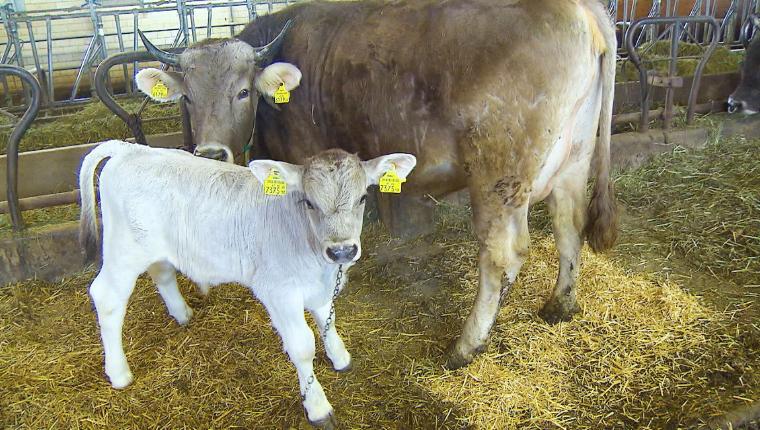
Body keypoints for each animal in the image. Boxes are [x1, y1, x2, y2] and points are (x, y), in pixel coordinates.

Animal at [78, 141, 416, 426]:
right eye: (308, 202)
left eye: (362, 198)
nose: (342, 250)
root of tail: (129, 148)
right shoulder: (279, 292)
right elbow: (303, 346)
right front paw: (317, 405)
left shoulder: (320, 289)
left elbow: (328, 321)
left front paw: (340, 357)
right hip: (123, 251)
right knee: (107, 297)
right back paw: (119, 373)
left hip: (154, 248)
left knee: (161, 272)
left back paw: (183, 314)